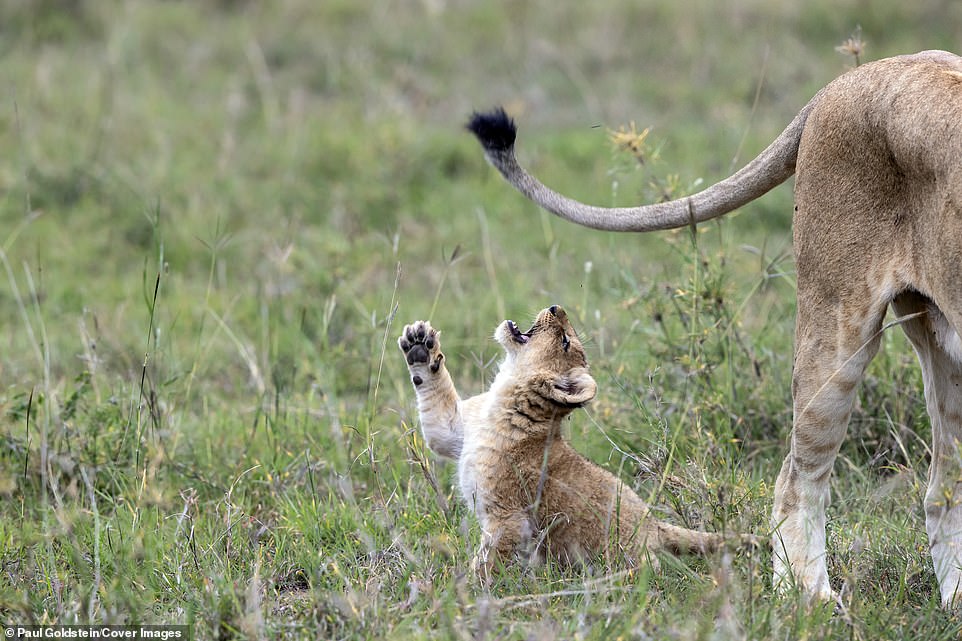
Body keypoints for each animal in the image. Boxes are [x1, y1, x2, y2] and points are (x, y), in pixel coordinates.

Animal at [468, 50, 960, 604]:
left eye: (567, 338)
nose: (555, 309)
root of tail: (866, 69)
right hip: (838, 322)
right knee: (799, 478)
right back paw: (809, 602)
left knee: (939, 489)